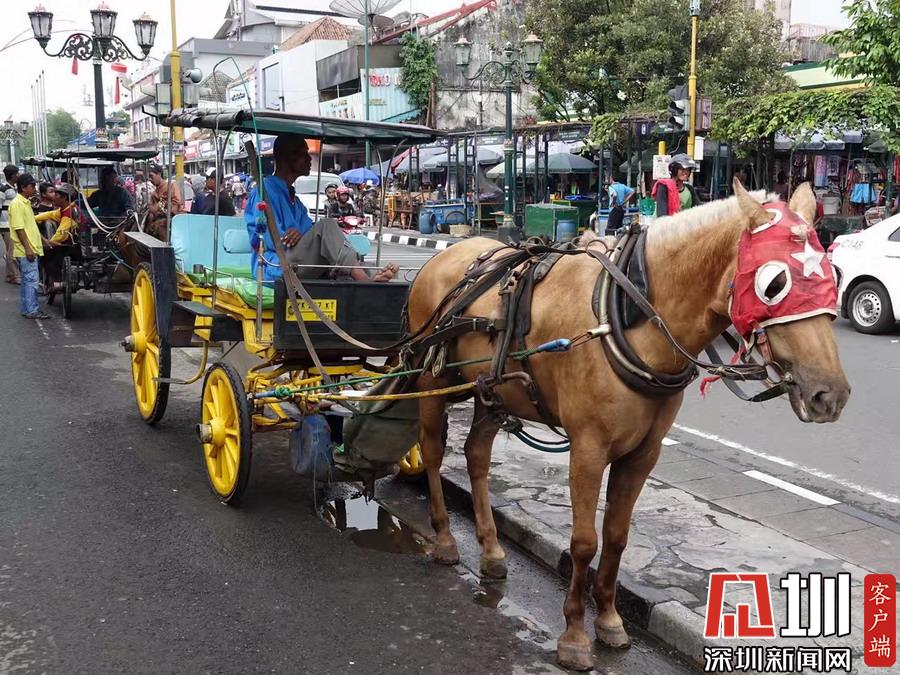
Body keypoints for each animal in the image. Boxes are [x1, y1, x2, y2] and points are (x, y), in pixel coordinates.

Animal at [405, 180, 850, 671]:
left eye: (832, 278)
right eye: (774, 284)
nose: (830, 393)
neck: (626, 317)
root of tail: (446, 257)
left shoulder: (643, 453)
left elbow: (616, 538)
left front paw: (610, 620)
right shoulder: (588, 447)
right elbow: (583, 542)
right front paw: (575, 634)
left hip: (492, 392)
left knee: (477, 456)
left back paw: (490, 550)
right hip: (432, 381)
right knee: (433, 450)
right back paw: (446, 539)